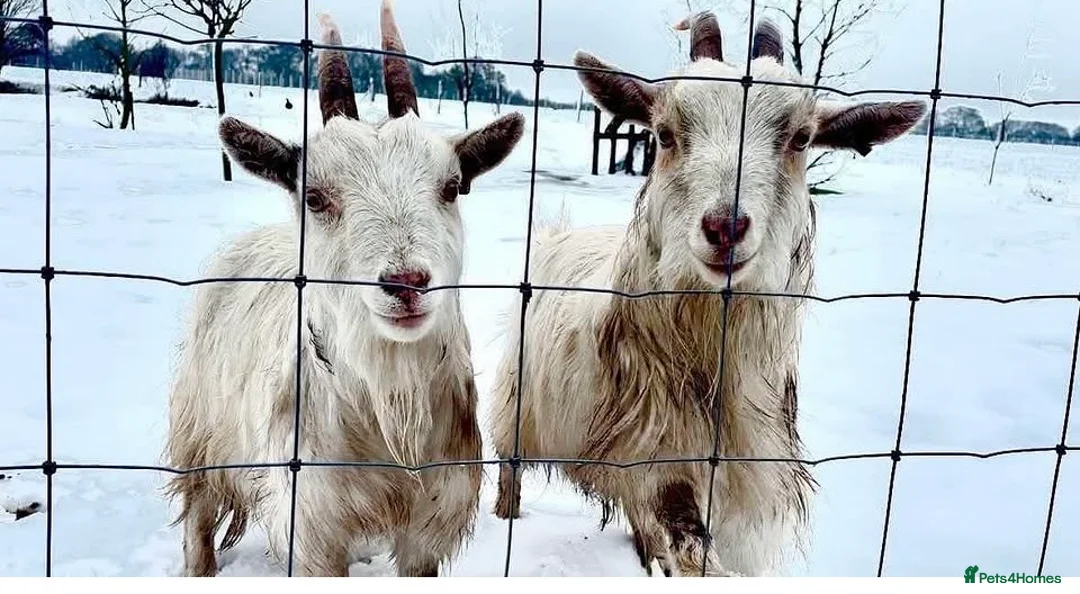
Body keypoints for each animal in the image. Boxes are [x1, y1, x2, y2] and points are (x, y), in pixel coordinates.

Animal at [164, 2, 525, 577]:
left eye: (452, 187)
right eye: (313, 196)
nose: (407, 284)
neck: (387, 408)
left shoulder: (430, 521)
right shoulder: (311, 524)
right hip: (199, 429)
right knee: (198, 515)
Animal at [489, 12, 926, 577]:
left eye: (801, 138)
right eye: (665, 134)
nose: (725, 226)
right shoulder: (659, 453)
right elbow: (690, 543)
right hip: (516, 407)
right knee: (509, 471)